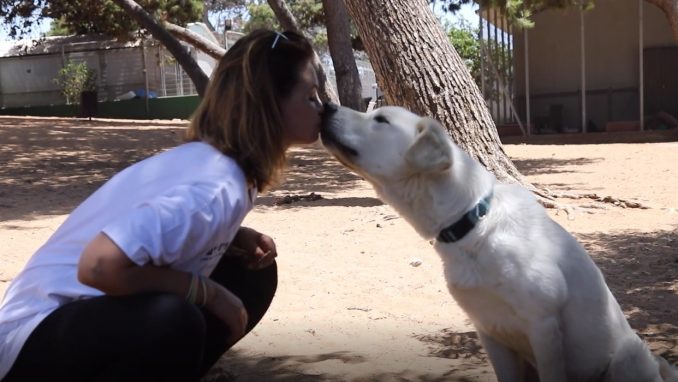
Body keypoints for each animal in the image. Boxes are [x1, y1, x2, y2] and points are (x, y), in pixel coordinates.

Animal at [322, 104, 676, 382]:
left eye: (381, 120)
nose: (325, 105)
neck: (473, 225)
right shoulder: (490, 330)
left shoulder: (543, 325)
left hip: (628, 356)